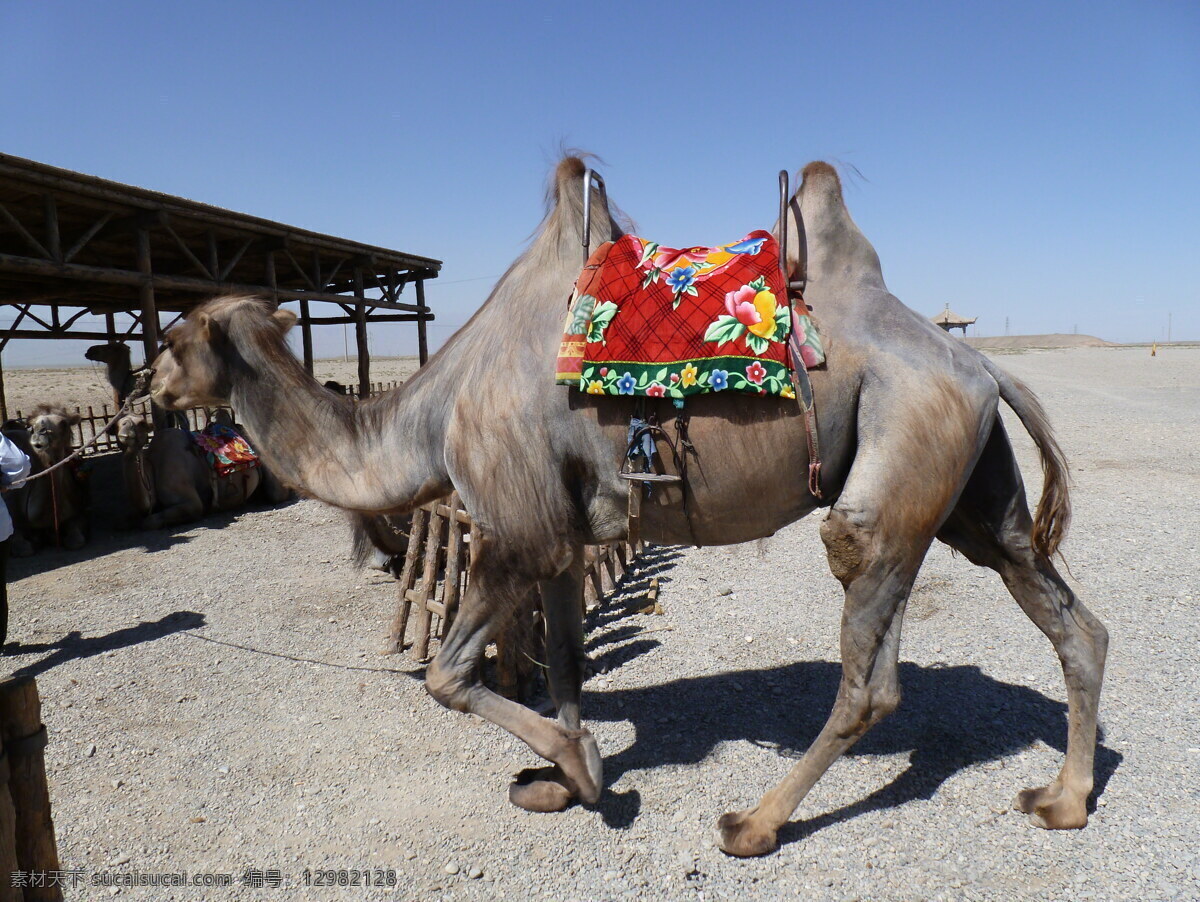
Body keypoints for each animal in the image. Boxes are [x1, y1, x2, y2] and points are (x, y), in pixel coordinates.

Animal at [150, 158, 1104, 854]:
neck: (433, 415)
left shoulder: (515, 528)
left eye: (172, 336)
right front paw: (567, 779)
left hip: (902, 450)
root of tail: (979, 362)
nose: (146, 389)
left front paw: (576, 764)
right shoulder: (566, 536)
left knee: (868, 655)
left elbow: (449, 676)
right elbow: (567, 664)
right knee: (1060, 612)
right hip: (967, 484)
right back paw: (1063, 799)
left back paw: (752, 824)